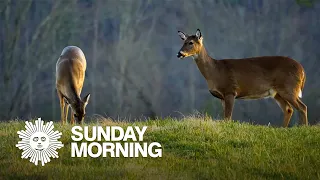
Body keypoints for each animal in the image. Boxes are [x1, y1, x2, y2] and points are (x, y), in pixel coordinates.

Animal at [178, 28, 308, 126]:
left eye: (191, 42)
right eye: (183, 42)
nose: (179, 53)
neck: (216, 71)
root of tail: (302, 70)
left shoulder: (230, 90)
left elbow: (228, 118)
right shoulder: (222, 97)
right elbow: (225, 117)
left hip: (289, 87)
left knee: (302, 107)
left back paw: (303, 128)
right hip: (277, 92)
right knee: (289, 109)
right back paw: (282, 128)